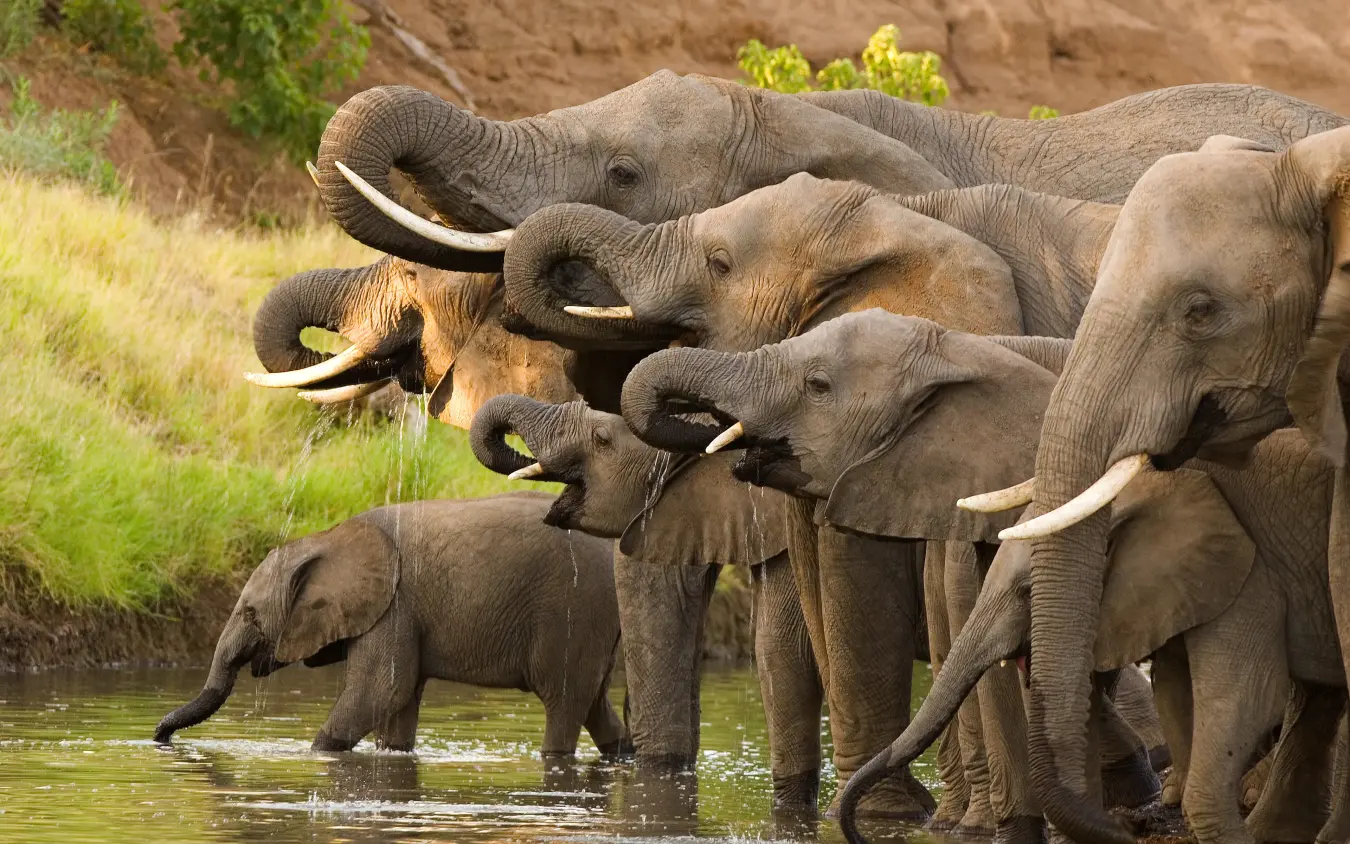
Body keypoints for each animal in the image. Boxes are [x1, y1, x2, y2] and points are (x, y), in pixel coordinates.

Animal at [153, 492, 628, 757]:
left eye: (250, 614)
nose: (159, 737)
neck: (328, 537)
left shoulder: (394, 605)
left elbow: (381, 690)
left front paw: (316, 754)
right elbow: (398, 703)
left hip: (574, 611)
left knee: (564, 703)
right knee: (594, 703)